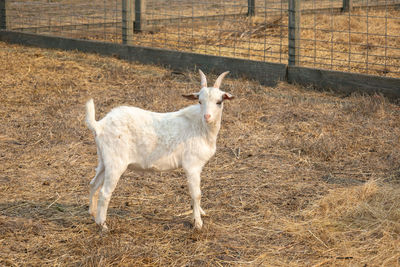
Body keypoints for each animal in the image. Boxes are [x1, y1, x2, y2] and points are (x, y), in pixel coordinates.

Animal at [86, 70, 233, 231]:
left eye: (219, 101)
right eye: (200, 101)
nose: (207, 116)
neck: (200, 127)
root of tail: (99, 125)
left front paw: (200, 212)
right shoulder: (192, 165)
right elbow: (196, 194)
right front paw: (198, 222)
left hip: (103, 160)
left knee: (93, 183)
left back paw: (92, 214)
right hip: (116, 163)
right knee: (105, 192)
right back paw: (103, 225)